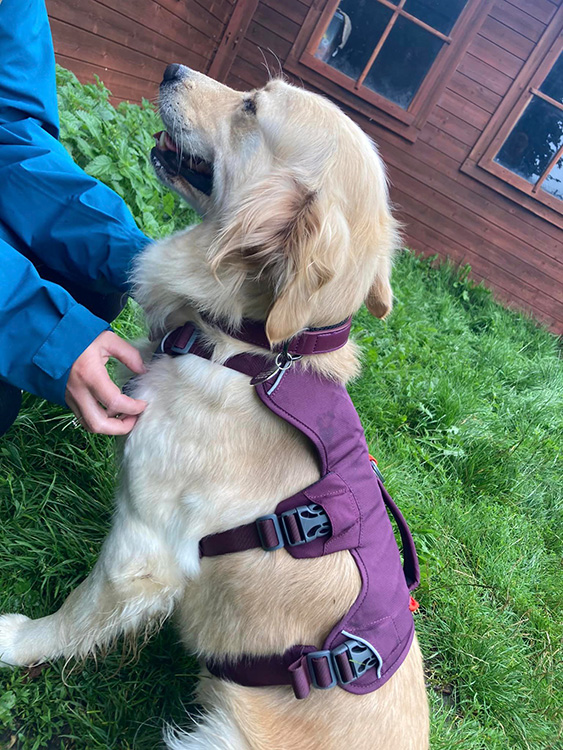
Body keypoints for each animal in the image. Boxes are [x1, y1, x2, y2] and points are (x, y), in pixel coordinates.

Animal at [0, 67, 430, 748]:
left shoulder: (142, 549)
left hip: (216, 736)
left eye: (250, 108)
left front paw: (17, 640)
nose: (171, 72)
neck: (253, 355)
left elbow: (76, 613)